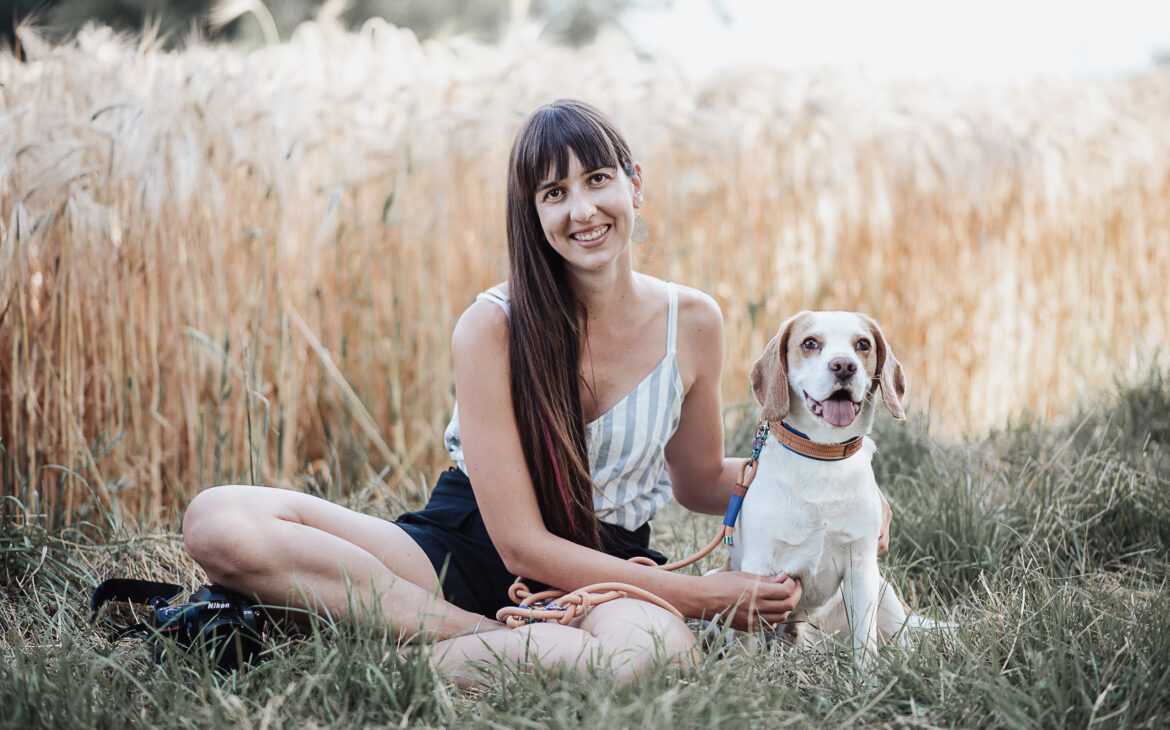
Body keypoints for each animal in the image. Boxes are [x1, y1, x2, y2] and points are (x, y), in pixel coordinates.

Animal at [730, 311, 921, 664]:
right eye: (809, 343)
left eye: (863, 344)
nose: (844, 366)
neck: (823, 455)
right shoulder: (759, 570)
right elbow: (747, 641)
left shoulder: (861, 564)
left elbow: (864, 641)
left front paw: (865, 676)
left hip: (884, 592)